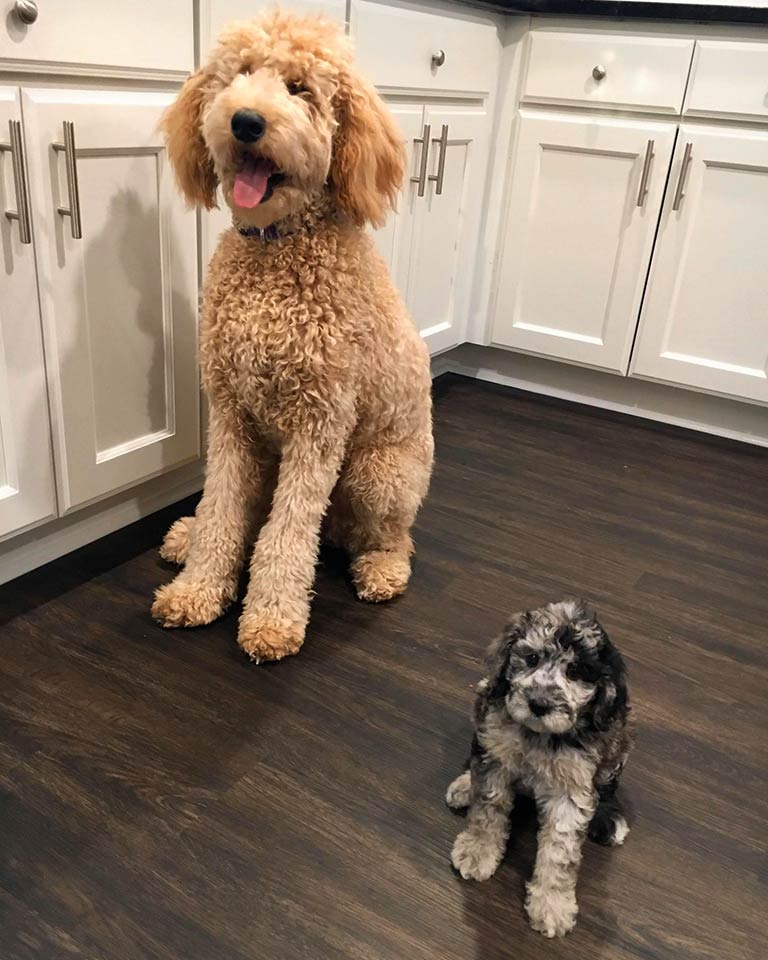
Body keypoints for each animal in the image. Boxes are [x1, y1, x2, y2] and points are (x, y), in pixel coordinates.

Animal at [153, 13, 436, 660]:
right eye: (239, 74)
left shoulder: (319, 424)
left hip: (376, 474)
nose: (246, 121)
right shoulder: (230, 413)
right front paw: (199, 588)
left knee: (390, 536)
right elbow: (222, 507)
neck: (274, 251)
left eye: (301, 88)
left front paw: (271, 619)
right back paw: (186, 536)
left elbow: (286, 537)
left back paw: (382, 569)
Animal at [444, 600, 632, 936]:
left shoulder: (571, 792)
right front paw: (477, 850)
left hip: (618, 740)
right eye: (531, 658)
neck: (537, 736)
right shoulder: (497, 758)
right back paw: (465, 785)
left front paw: (552, 903)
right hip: (482, 698)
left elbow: (560, 851)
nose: (539, 703)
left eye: (575, 672)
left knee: (608, 786)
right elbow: (487, 811)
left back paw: (609, 817)